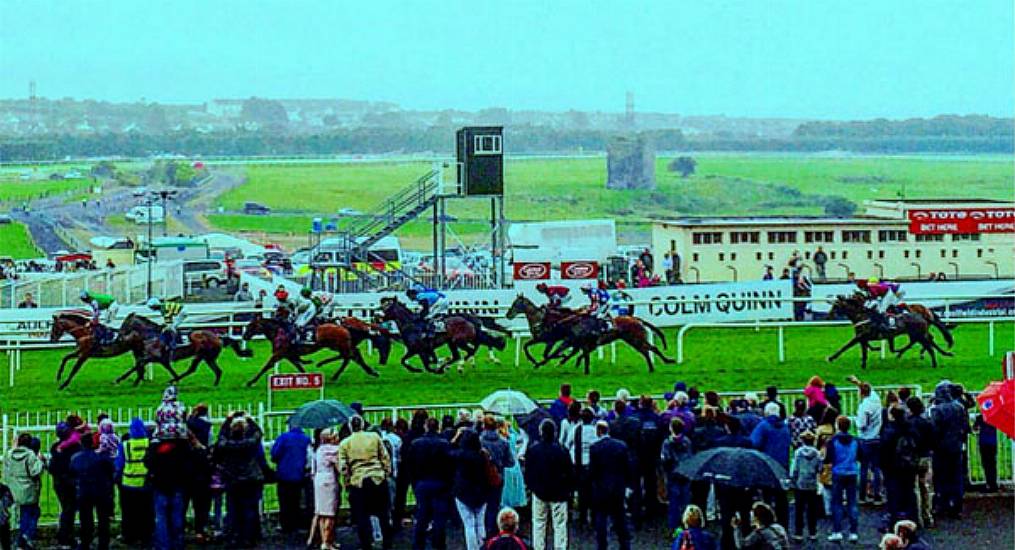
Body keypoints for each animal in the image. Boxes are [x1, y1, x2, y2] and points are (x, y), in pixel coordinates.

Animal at [116, 314, 251, 387]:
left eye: (125, 323)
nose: (119, 335)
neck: (152, 336)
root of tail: (218, 337)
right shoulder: (160, 359)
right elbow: (141, 365)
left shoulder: (153, 357)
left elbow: (138, 364)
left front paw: (121, 379)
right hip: (207, 357)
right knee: (217, 371)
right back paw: (214, 384)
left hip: (201, 355)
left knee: (193, 369)